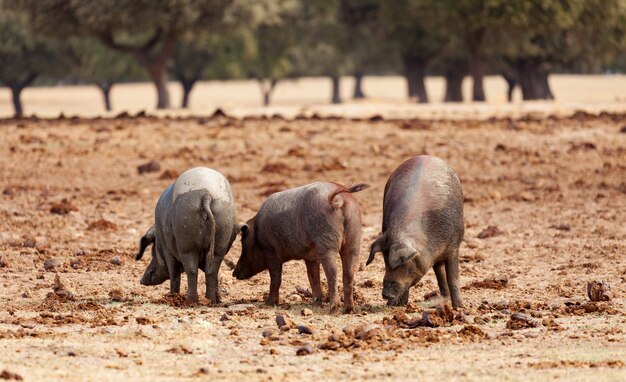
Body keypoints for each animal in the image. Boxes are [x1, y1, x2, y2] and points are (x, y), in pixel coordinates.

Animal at [134, 166, 236, 302]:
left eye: (152, 250)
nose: (141, 281)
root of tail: (206, 194)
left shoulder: (167, 249)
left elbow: (174, 271)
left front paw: (171, 295)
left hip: (186, 240)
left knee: (191, 270)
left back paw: (191, 300)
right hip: (221, 235)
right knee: (213, 270)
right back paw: (212, 301)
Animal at [234, 182, 370, 314]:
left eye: (242, 241)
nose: (234, 273)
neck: (257, 232)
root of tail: (337, 197)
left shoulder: (270, 251)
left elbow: (276, 278)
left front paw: (268, 304)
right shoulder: (310, 257)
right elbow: (313, 276)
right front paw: (315, 304)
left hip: (326, 242)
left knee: (333, 273)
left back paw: (333, 311)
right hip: (354, 239)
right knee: (349, 273)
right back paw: (348, 310)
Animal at [364, 155, 460, 308]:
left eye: (404, 262)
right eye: (385, 259)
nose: (385, 295)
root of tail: (425, 156)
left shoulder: (454, 247)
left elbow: (453, 278)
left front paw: (460, 307)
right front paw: (394, 305)